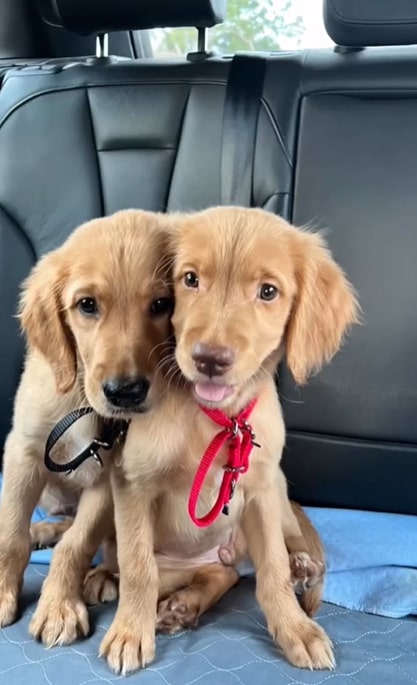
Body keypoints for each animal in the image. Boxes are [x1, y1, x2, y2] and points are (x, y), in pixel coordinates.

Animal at [0, 210, 173, 648]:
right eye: (87, 305)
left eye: (162, 304)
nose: (125, 392)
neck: (81, 401)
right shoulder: (24, 450)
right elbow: (11, 532)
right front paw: (3, 591)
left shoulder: (111, 476)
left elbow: (76, 545)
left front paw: (59, 606)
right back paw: (44, 529)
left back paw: (102, 576)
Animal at [100, 204, 358, 672]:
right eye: (190, 279)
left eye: (268, 292)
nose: (209, 359)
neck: (217, 419)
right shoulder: (133, 485)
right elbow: (138, 570)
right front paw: (130, 631)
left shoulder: (259, 491)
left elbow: (272, 569)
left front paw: (295, 628)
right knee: (214, 573)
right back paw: (173, 604)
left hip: (277, 490)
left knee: (266, 555)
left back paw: (302, 566)